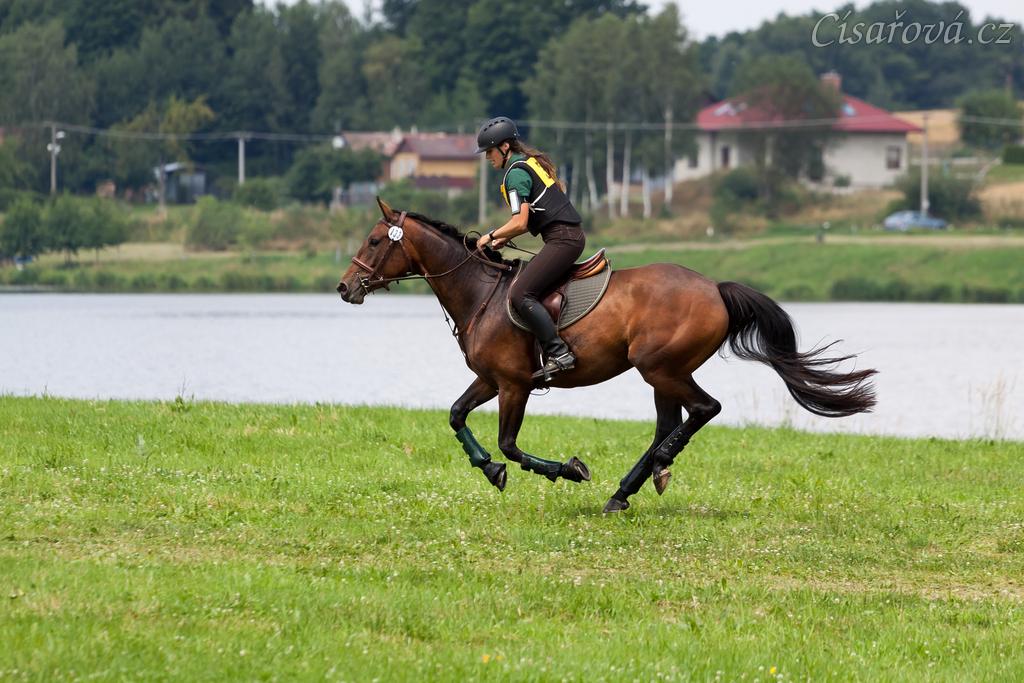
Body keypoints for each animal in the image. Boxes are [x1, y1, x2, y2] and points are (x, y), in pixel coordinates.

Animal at [337, 198, 877, 513]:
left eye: (373, 240)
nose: (345, 288)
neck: (481, 294)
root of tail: (715, 289)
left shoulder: (514, 384)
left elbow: (511, 444)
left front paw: (567, 470)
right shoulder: (490, 379)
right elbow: (455, 415)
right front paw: (488, 469)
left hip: (660, 367)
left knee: (704, 409)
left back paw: (654, 468)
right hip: (662, 373)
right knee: (670, 422)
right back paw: (629, 488)